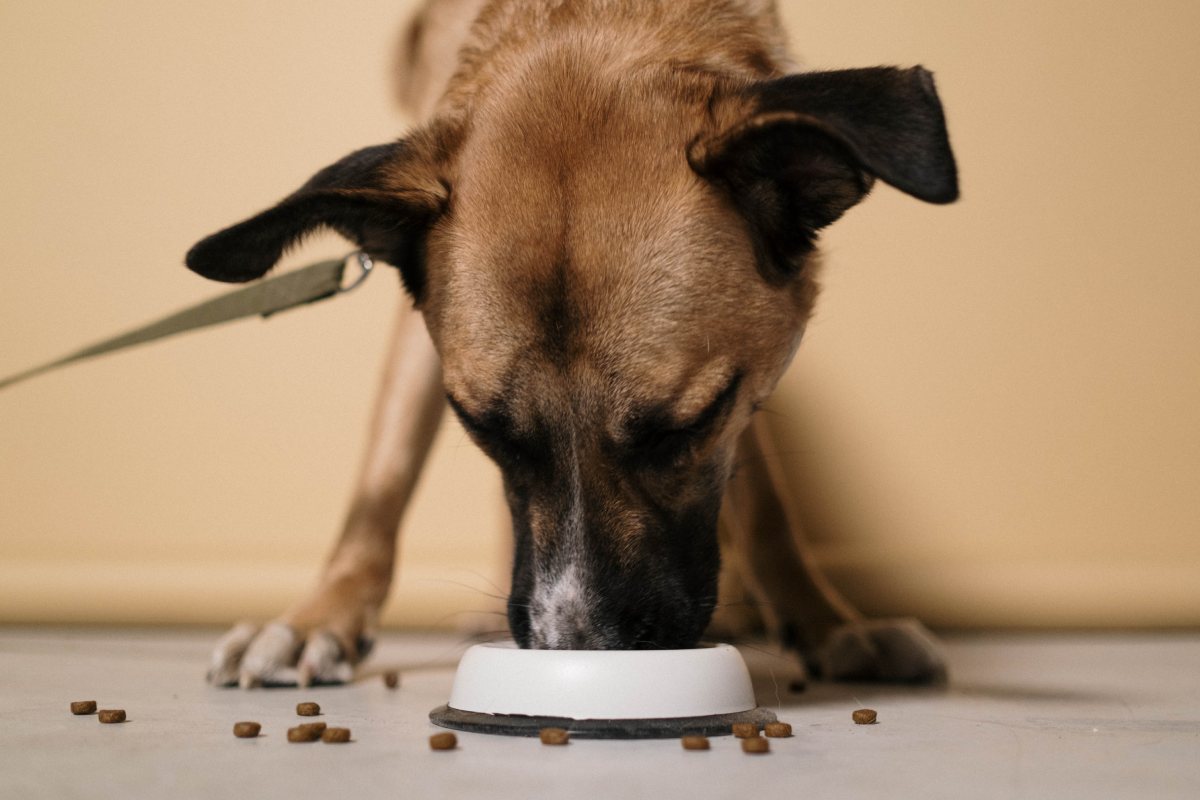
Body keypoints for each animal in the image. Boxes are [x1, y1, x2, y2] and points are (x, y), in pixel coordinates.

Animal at [187, 0, 955, 690]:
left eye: (685, 428)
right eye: (484, 429)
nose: (577, 649)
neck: (590, 19)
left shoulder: (746, 378)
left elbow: (765, 504)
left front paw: (827, 622)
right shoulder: (418, 327)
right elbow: (382, 478)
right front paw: (320, 617)